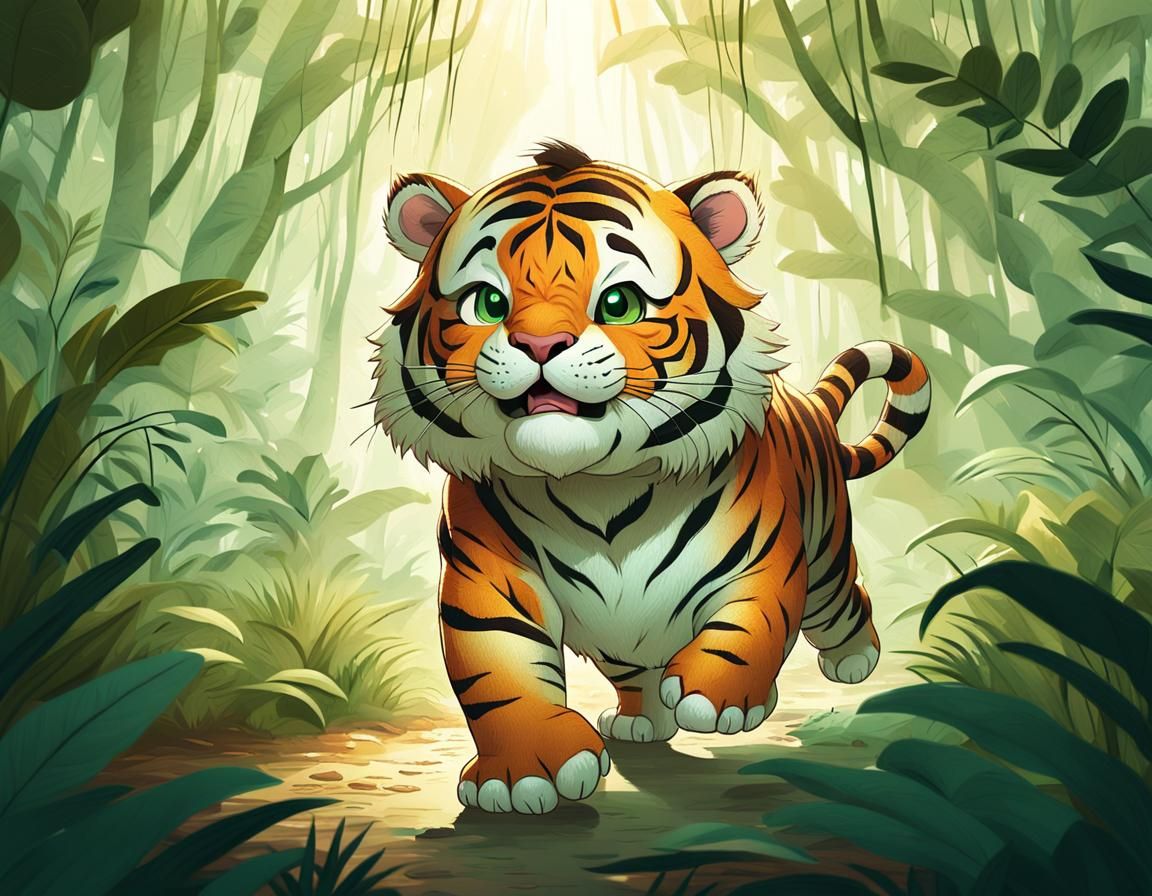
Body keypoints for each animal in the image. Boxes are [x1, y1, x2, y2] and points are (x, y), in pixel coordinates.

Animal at [371, 140, 929, 815]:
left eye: (620, 304)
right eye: (488, 303)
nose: (539, 343)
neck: (597, 488)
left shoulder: (762, 561)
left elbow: (752, 622)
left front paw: (717, 697)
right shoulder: (486, 579)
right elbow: (497, 671)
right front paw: (524, 773)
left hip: (824, 561)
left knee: (846, 603)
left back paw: (854, 659)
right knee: (635, 670)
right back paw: (639, 719)